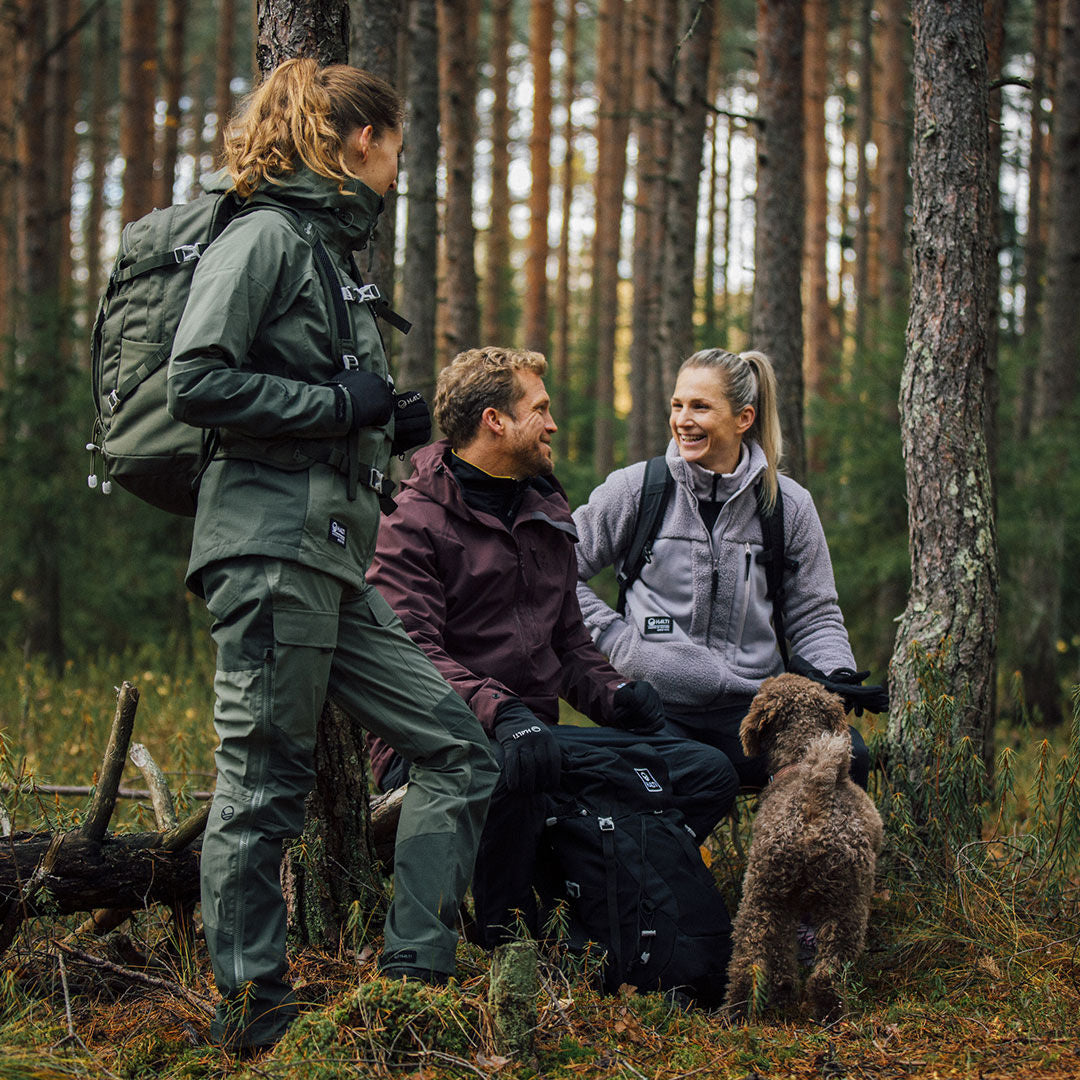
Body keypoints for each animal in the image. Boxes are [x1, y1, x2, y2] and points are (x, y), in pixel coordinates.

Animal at [721, 673, 881, 1019]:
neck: (798, 760)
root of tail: (814, 796)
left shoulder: (784, 899)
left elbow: (782, 954)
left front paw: (783, 992)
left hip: (765, 894)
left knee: (749, 958)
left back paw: (739, 1009)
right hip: (844, 902)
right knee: (824, 969)